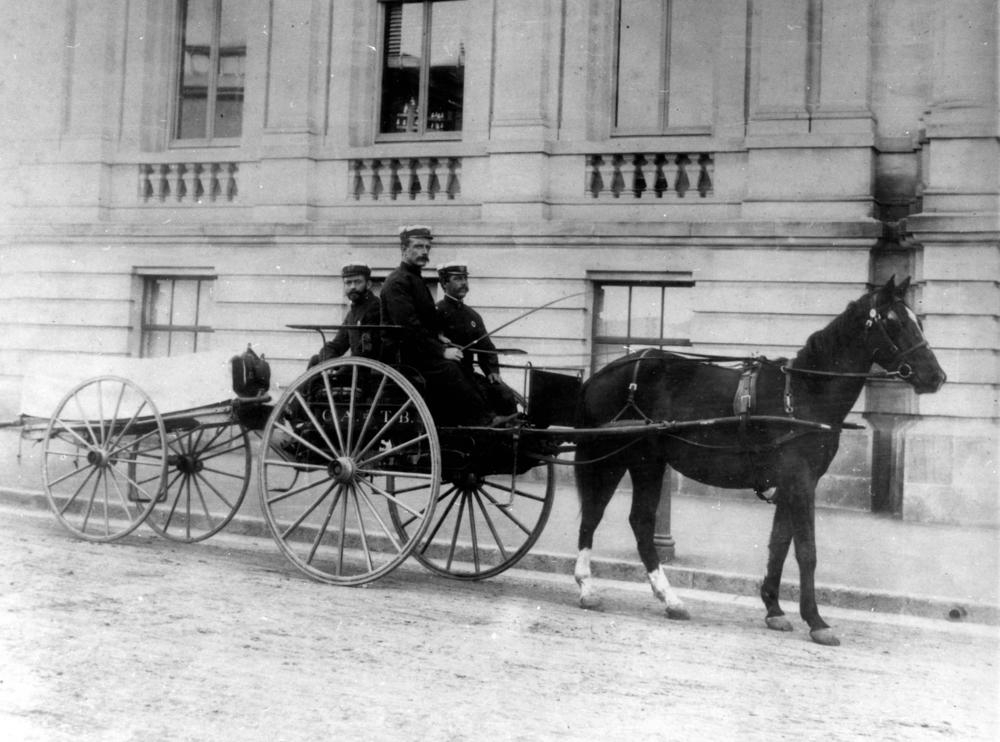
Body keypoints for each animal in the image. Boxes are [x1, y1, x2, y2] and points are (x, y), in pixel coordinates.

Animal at [572, 276, 944, 648]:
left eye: (918, 320)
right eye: (894, 322)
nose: (936, 376)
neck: (803, 394)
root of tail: (603, 372)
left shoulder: (791, 482)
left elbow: (779, 543)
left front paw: (774, 609)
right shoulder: (800, 480)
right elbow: (806, 550)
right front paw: (816, 620)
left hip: (647, 462)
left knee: (640, 522)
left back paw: (670, 599)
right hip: (612, 459)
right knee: (593, 515)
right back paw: (587, 588)